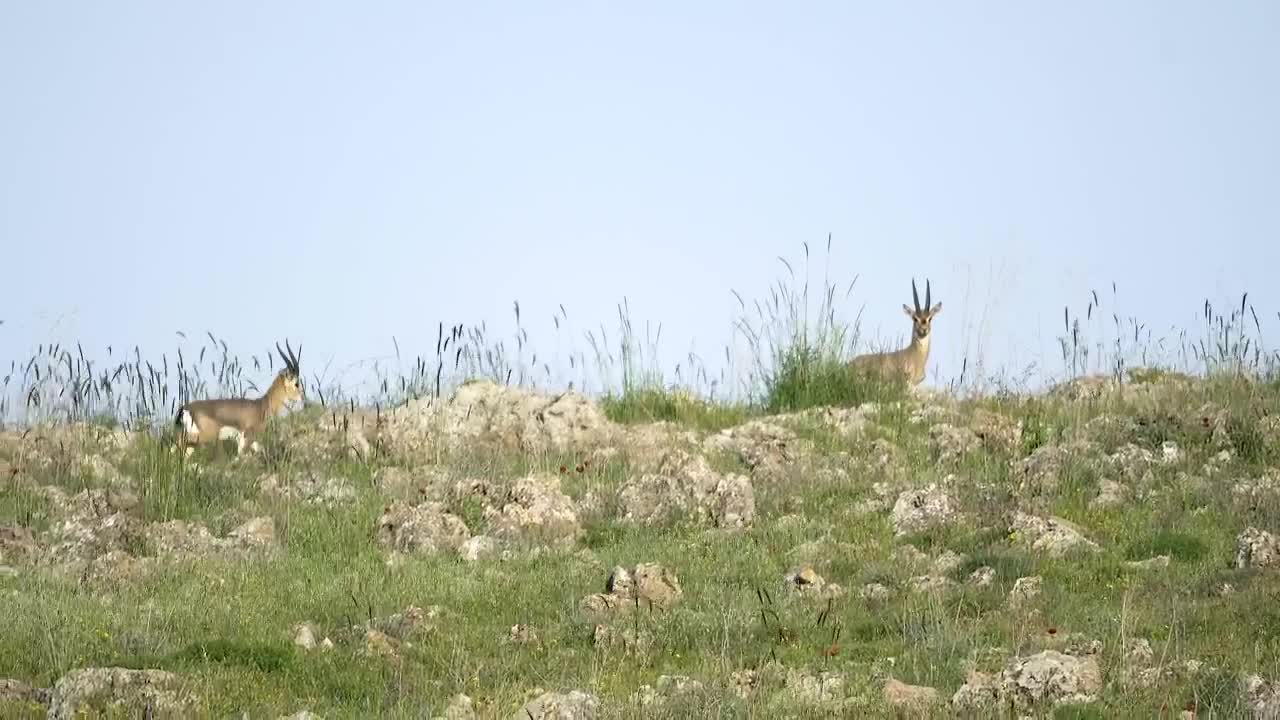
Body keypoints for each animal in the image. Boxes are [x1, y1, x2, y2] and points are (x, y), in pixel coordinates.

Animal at [175, 340, 304, 455]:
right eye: (296, 383)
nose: (302, 398)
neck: (262, 406)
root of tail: (185, 408)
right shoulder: (247, 437)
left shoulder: (249, 441)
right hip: (203, 436)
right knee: (179, 443)